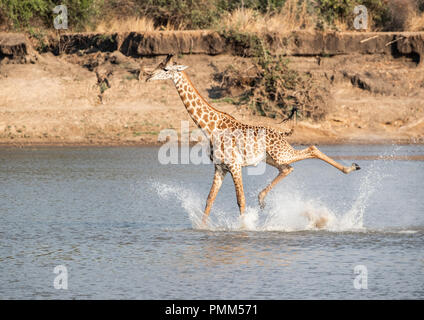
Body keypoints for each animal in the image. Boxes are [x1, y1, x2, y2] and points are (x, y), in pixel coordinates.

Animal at [147, 54, 362, 225]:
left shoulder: (234, 165)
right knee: (288, 168)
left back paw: (351, 167)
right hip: (271, 158)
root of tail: (282, 134)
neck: (210, 127)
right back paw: (262, 198)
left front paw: (245, 228)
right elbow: (209, 200)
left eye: (165, 68)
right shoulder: (220, 167)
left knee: (311, 149)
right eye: (158, 64)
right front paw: (202, 228)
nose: (148, 75)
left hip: (280, 153)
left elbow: (240, 200)